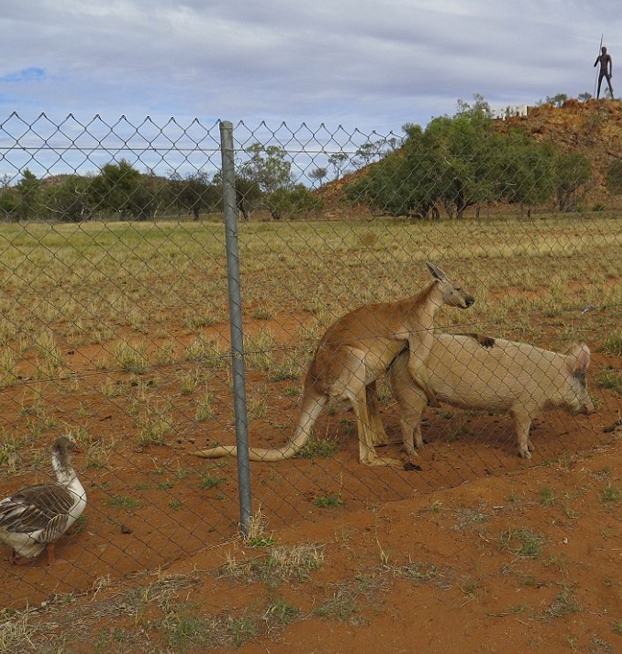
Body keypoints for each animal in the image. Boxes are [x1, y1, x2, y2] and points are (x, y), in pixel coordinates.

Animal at [390, 336, 600, 458]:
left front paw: (532, 448)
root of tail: (399, 355)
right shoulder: (523, 405)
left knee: (415, 422)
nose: (592, 410)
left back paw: (421, 446)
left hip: (419, 397)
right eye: (583, 382)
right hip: (410, 392)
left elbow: (526, 431)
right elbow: (523, 429)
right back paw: (413, 454)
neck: (552, 378)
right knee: (404, 422)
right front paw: (528, 455)